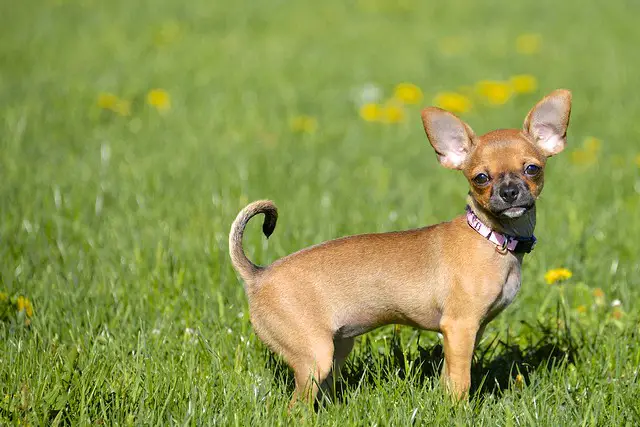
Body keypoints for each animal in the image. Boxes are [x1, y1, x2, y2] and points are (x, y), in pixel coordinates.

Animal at [229, 89, 568, 404]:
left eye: (532, 169)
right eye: (480, 178)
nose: (509, 192)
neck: (490, 237)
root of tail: (258, 275)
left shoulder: (467, 331)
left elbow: (448, 378)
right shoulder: (460, 327)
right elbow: (461, 382)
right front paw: (460, 411)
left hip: (337, 348)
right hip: (315, 355)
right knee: (295, 406)